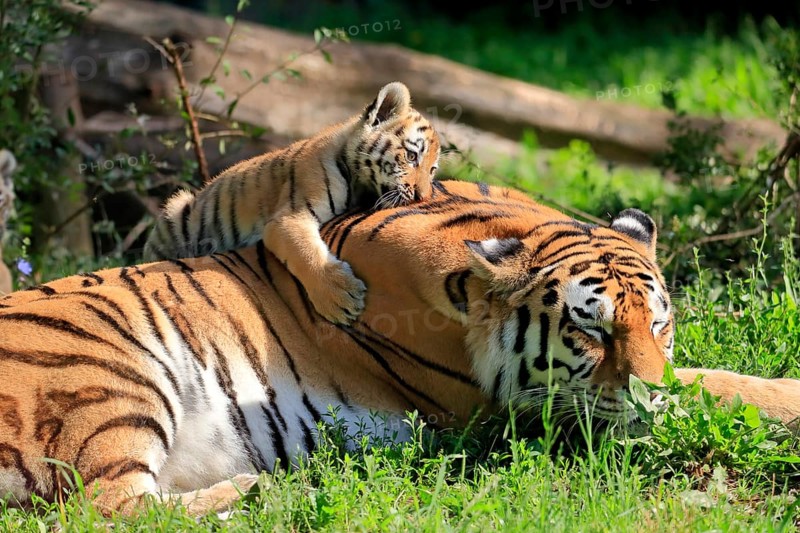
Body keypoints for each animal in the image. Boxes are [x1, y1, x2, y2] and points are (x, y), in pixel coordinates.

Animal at [1, 180, 798, 516]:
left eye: (659, 323)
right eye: (590, 328)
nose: (645, 397)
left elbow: (707, 375)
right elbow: (712, 384)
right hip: (109, 374)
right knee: (105, 508)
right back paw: (270, 489)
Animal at [142, 81, 441, 325]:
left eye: (433, 170)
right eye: (412, 156)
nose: (423, 197)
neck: (360, 185)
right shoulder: (289, 217)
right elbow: (305, 251)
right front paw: (340, 297)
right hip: (175, 211)